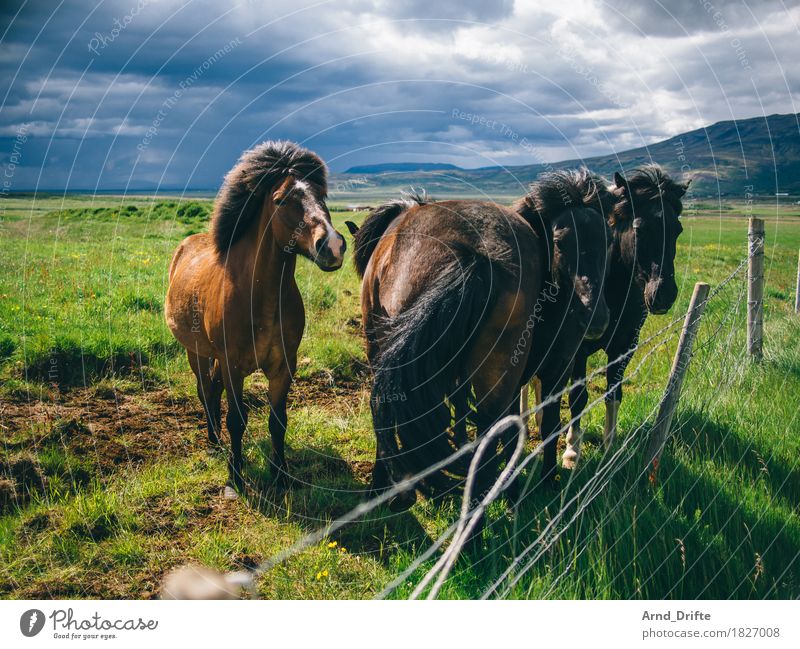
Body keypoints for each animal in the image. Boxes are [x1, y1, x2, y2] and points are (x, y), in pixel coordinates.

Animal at [164, 139, 346, 494]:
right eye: (282, 199)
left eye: (322, 196)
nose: (332, 246)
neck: (259, 296)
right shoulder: (232, 364)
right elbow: (236, 419)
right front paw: (235, 477)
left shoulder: (283, 366)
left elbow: (278, 421)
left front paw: (280, 474)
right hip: (196, 352)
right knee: (205, 391)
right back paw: (214, 441)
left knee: (212, 390)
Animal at [512, 170, 612, 484]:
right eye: (558, 241)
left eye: (608, 240)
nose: (595, 318)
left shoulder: (559, 369)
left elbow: (551, 425)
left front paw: (548, 477)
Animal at [564, 163, 688, 466]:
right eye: (639, 229)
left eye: (677, 229)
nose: (664, 294)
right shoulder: (577, 351)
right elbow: (577, 397)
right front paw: (572, 449)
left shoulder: (624, 346)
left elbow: (613, 393)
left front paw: (609, 444)